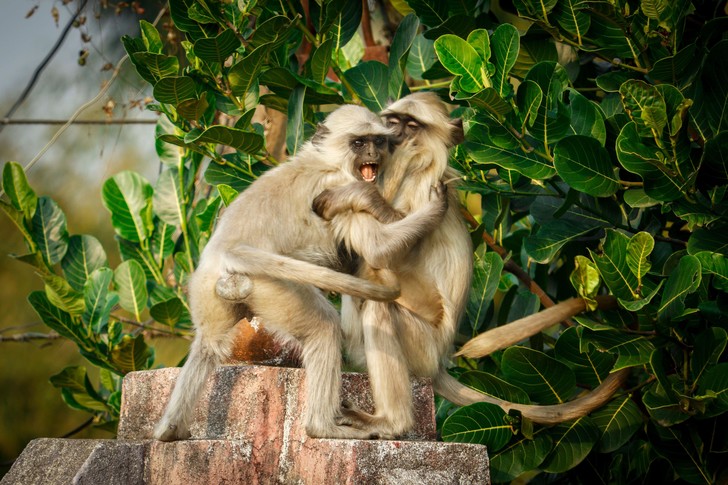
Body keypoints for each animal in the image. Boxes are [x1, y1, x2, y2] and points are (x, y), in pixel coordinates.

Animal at [155, 104, 450, 440]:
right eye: (359, 143)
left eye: (378, 140)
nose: (374, 152)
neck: (326, 160)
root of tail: (224, 250)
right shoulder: (339, 187)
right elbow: (377, 249)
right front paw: (436, 208)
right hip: (272, 287)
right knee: (324, 327)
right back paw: (323, 427)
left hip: (207, 291)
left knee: (208, 345)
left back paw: (170, 430)